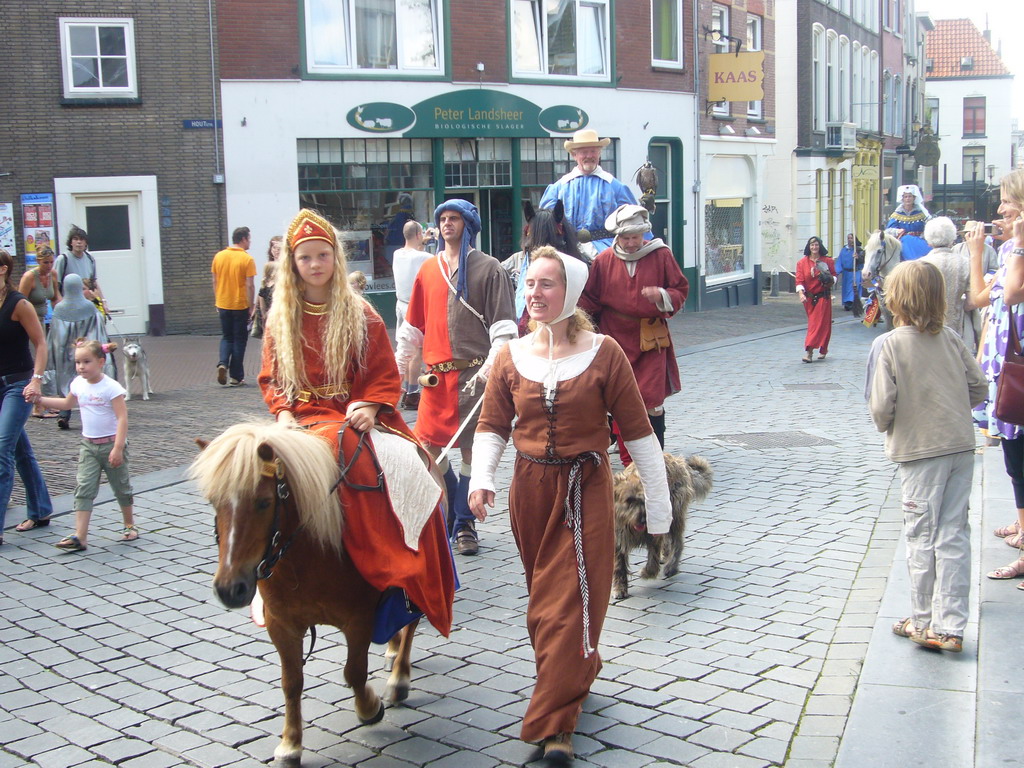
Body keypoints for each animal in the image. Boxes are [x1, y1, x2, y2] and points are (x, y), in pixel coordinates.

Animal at [610, 456, 716, 602]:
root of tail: (676, 459)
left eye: (644, 499)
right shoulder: (618, 539)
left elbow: (652, 560)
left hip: (675, 513)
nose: (643, 520)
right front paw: (619, 588)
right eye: (629, 501)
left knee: (677, 543)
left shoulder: (655, 536)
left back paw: (671, 567)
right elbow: (619, 566)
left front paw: (646, 572)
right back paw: (665, 556)